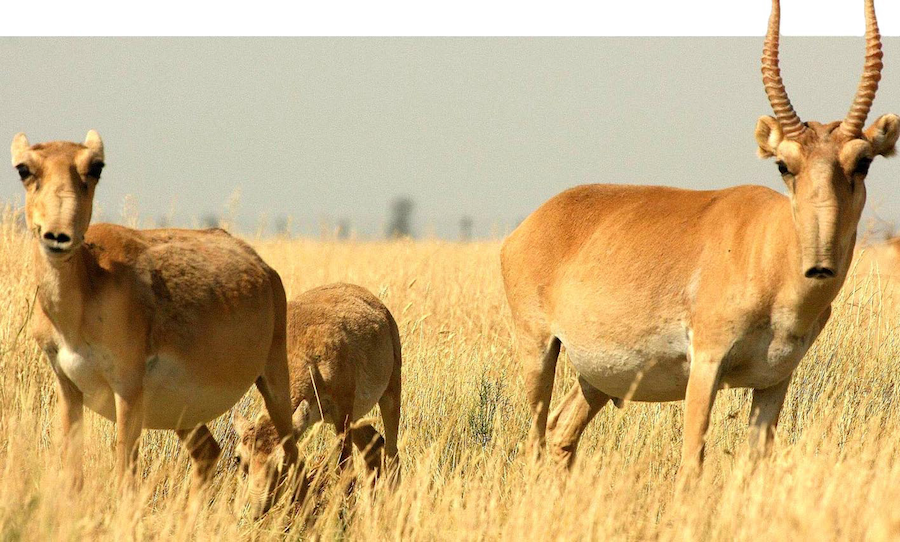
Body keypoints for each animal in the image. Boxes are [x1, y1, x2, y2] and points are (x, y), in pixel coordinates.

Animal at [10, 132, 298, 498]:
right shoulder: (68, 389)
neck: (91, 283)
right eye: (24, 168)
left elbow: (124, 478)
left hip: (274, 383)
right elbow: (73, 474)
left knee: (294, 456)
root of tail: (263, 267)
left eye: (95, 166)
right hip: (185, 416)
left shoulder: (128, 391)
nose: (58, 236)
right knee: (208, 453)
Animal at [234, 284, 402, 520]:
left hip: (389, 394)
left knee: (392, 453)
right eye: (239, 458)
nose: (258, 510)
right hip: (354, 417)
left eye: (282, 461)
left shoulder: (342, 412)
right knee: (375, 445)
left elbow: (345, 471)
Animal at [500, 0, 900, 472]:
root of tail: (533, 224)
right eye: (784, 164)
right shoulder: (706, 366)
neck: (767, 248)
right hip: (539, 350)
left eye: (863, 162)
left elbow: (756, 459)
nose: (820, 266)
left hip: (595, 378)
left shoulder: (775, 379)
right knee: (536, 436)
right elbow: (693, 459)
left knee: (562, 430)